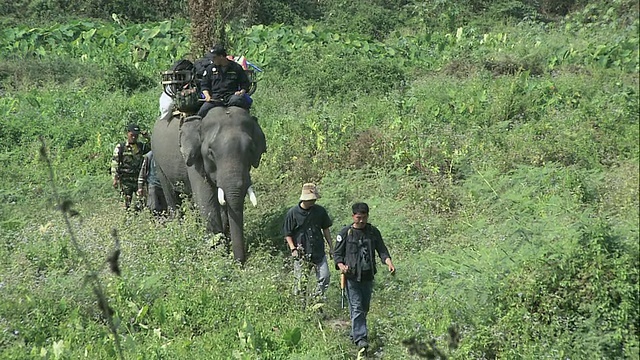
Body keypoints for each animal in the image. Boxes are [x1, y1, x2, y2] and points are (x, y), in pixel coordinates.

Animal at [151, 105, 266, 262]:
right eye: (211, 152)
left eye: (250, 149)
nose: (240, 262)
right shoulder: (194, 159)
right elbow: (206, 200)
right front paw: (218, 255)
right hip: (158, 163)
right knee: (173, 197)